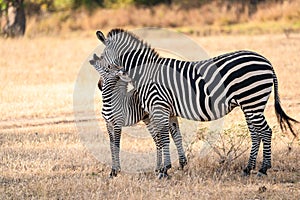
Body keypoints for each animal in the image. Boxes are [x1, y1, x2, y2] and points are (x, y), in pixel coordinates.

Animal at [95, 28, 298, 177]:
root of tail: (266, 61)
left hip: (252, 101)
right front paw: (175, 166)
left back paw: (263, 169)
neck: (147, 72)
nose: (99, 85)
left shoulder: (159, 107)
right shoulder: (167, 110)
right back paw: (248, 169)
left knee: (266, 131)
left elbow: (163, 137)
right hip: (251, 105)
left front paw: (163, 171)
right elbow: (173, 136)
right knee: (256, 133)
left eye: (103, 60)